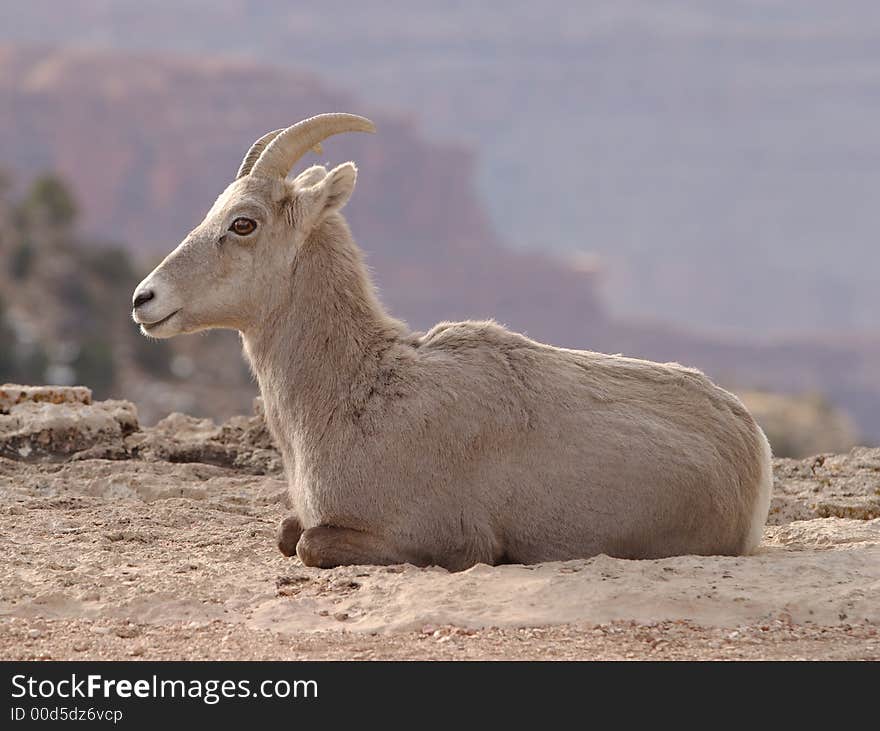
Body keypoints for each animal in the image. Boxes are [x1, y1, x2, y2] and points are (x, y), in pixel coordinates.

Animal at [131, 113, 768, 572]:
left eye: (243, 223)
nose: (145, 299)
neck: (358, 393)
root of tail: (752, 450)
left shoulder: (430, 537)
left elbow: (308, 544)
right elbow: (289, 532)